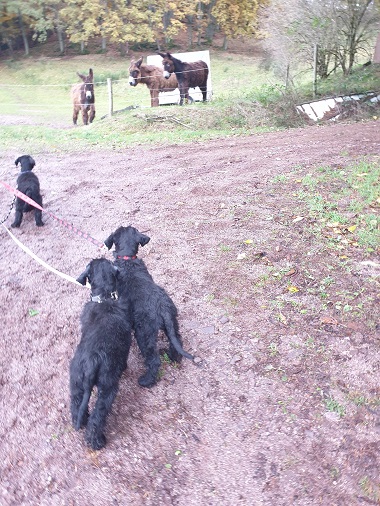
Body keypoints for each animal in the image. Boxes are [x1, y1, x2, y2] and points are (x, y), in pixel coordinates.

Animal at [70, 258, 133, 448]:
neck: (103, 298)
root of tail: (91, 363)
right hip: (108, 387)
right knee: (98, 416)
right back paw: (96, 441)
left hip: (76, 382)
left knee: (76, 406)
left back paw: (80, 421)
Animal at [103, 225, 193, 388]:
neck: (127, 259)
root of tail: (163, 309)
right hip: (172, 325)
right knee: (177, 341)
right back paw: (173, 357)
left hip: (144, 333)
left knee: (154, 359)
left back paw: (146, 380)